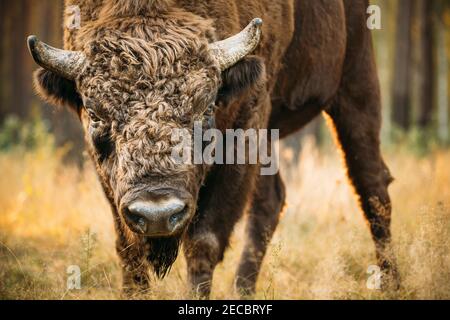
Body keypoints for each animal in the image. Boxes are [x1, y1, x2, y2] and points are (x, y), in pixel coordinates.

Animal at [28, 0, 400, 298]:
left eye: (206, 109)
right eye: (94, 115)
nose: (157, 213)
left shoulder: (245, 129)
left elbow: (204, 241)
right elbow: (129, 248)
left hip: (355, 84)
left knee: (371, 185)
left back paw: (392, 284)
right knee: (271, 199)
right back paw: (243, 290)